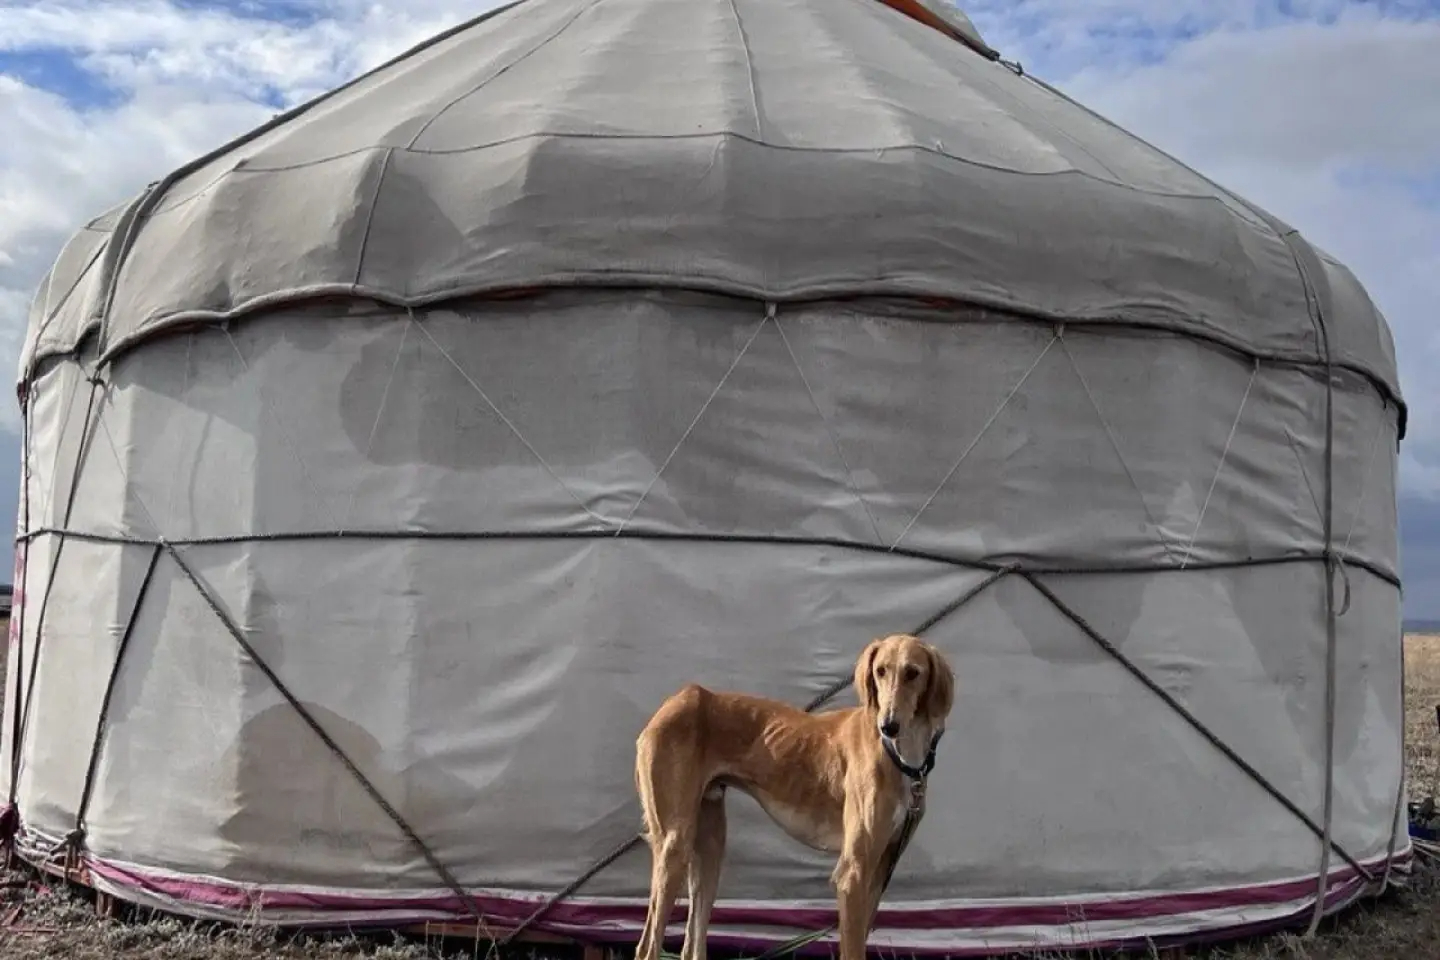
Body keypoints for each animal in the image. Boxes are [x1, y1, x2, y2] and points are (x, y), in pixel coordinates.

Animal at [633, 633, 956, 960]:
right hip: (675, 845)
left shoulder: (880, 871)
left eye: (913, 672)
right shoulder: (852, 873)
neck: (900, 756)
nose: (888, 725)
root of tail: (677, 699)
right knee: (646, 947)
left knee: (692, 946)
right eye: (880, 671)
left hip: (709, 845)